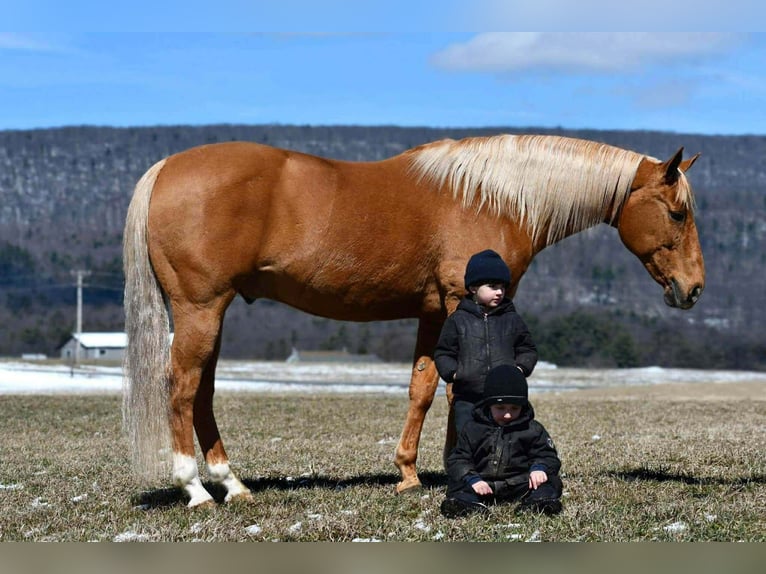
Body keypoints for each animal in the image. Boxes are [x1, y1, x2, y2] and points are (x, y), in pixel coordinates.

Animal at [122, 133, 704, 507]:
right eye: (678, 213)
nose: (693, 289)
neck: (493, 195)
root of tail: (165, 168)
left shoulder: (433, 312)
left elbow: (424, 386)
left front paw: (407, 473)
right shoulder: (458, 302)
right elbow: (461, 387)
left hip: (210, 313)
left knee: (202, 392)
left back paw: (232, 484)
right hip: (200, 309)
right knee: (181, 387)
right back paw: (196, 489)